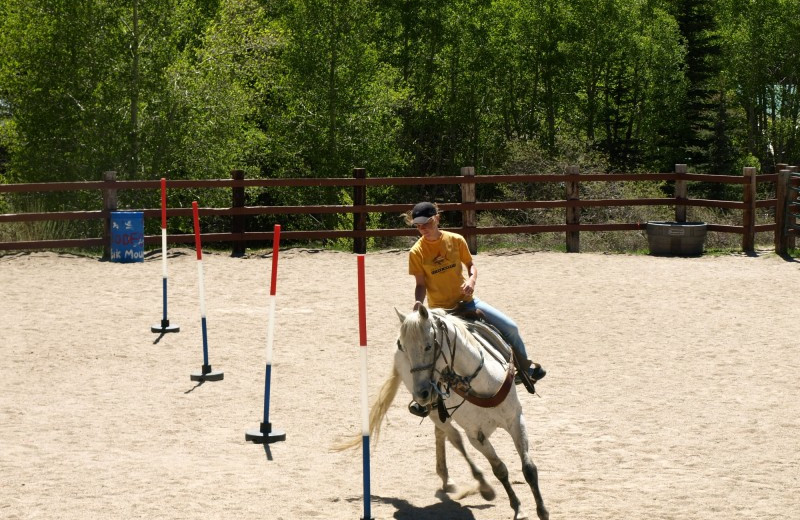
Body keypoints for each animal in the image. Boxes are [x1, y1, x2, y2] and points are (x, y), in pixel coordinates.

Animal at [346, 304, 548, 520]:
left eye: (428, 346)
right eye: (404, 348)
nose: (422, 393)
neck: (480, 383)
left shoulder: (515, 419)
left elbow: (529, 468)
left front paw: (542, 511)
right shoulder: (476, 436)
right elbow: (499, 469)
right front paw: (518, 508)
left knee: (441, 434)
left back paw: (447, 478)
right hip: (435, 411)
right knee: (454, 438)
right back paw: (481, 485)